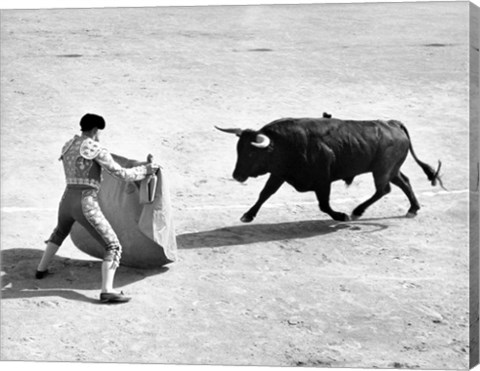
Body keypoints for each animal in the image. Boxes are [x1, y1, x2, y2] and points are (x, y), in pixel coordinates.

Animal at [216, 116, 444, 222]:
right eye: (238, 150)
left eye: (251, 153)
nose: (237, 176)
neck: (285, 144)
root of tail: (393, 124)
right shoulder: (279, 173)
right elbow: (265, 193)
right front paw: (248, 215)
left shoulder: (323, 180)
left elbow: (324, 205)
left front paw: (340, 216)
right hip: (390, 169)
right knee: (403, 182)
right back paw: (413, 208)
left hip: (382, 170)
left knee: (383, 189)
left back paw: (357, 211)